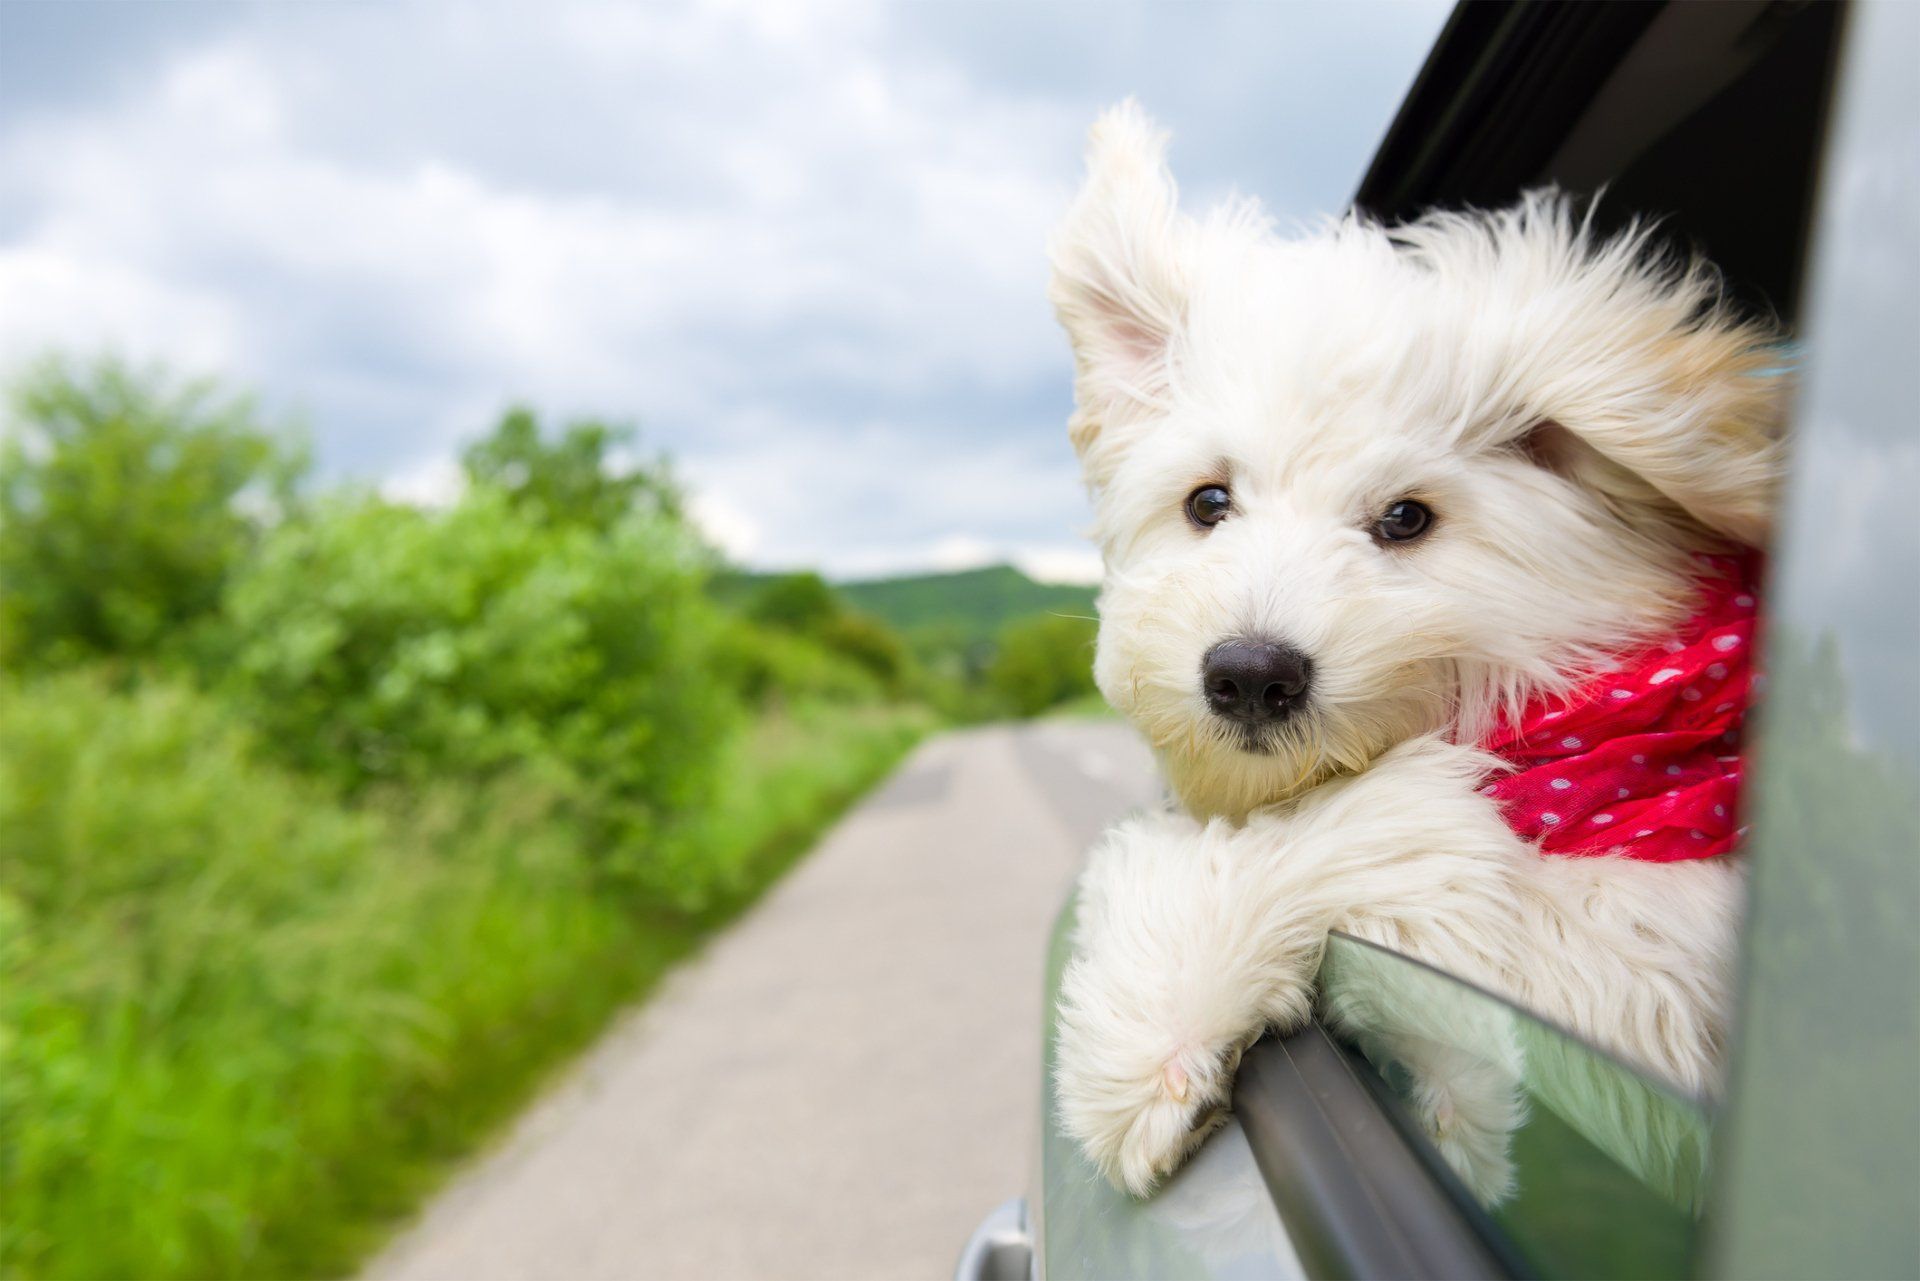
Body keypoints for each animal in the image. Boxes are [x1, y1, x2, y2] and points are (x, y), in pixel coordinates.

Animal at [1052, 107, 1781, 1206]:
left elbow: (1400, 836)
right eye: (1208, 502)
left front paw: (1148, 1031)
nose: (1249, 675)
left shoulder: (1656, 993)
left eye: (1406, 519)